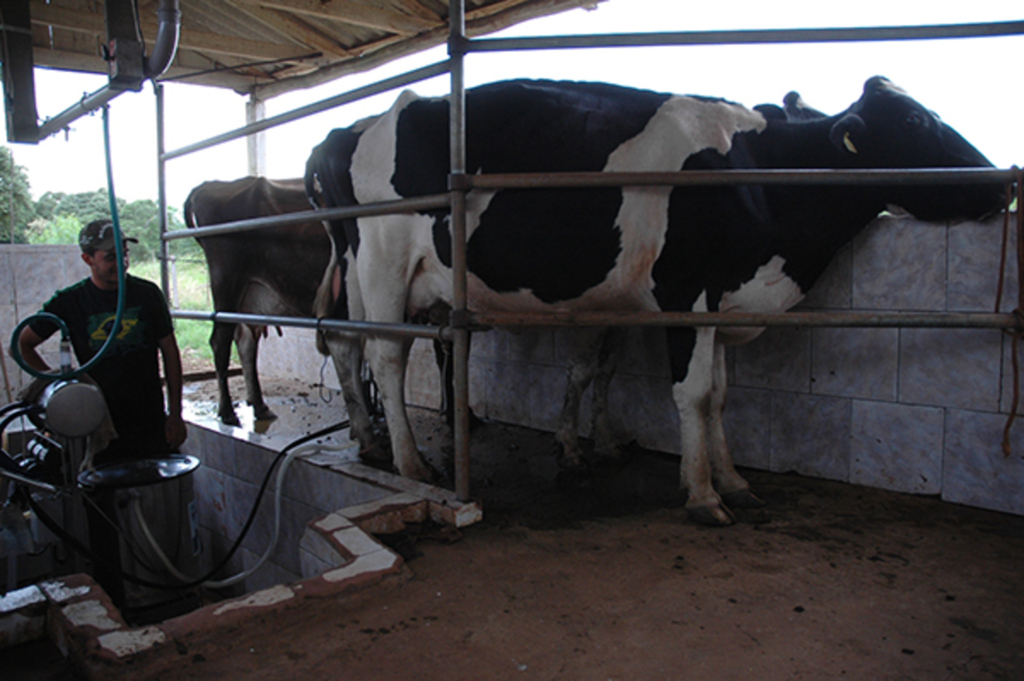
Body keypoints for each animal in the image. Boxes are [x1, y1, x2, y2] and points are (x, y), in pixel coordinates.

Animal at [307, 78, 1003, 524]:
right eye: (915, 122)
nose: (1001, 182)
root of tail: (364, 122)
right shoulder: (686, 291)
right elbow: (691, 394)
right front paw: (702, 495)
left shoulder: (720, 300)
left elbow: (717, 393)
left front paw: (733, 481)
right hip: (383, 262)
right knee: (386, 355)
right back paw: (411, 461)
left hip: (369, 273)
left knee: (355, 345)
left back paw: (377, 441)